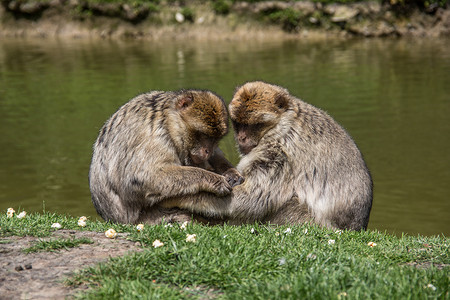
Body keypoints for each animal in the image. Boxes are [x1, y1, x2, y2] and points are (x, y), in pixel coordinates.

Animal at [88, 89, 243, 225]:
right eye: (204, 135)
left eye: (215, 139)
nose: (207, 151)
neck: (167, 121)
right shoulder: (153, 135)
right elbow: (141, 178)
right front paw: (215, 180)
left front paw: (232, 173)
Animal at [163, 81, 374, 231]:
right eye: (239, 124)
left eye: (254, 125)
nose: (241, 137)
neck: (282, 122)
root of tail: (356, 227)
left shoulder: (278, 151)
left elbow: (252, 199)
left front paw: (180, 199)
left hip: (307, 222)